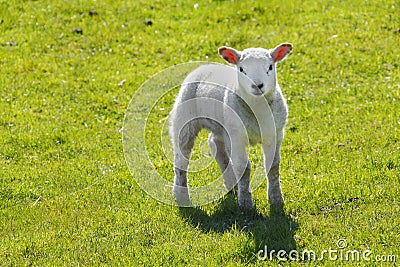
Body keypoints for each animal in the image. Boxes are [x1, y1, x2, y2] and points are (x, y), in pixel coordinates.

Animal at [167, 43, 292, 209]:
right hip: (185, 119)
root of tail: (204, 66)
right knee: (181, 158)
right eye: (241, 69)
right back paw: (182, 196)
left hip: (221, 127)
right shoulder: (236, 136)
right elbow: (243, 167)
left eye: (270, 67)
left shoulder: (275, 134)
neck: (257, 108)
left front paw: (276, 199)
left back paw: (232, 184)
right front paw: (245, 203)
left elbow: (273, 167)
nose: (257, 85)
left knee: (215, 144)